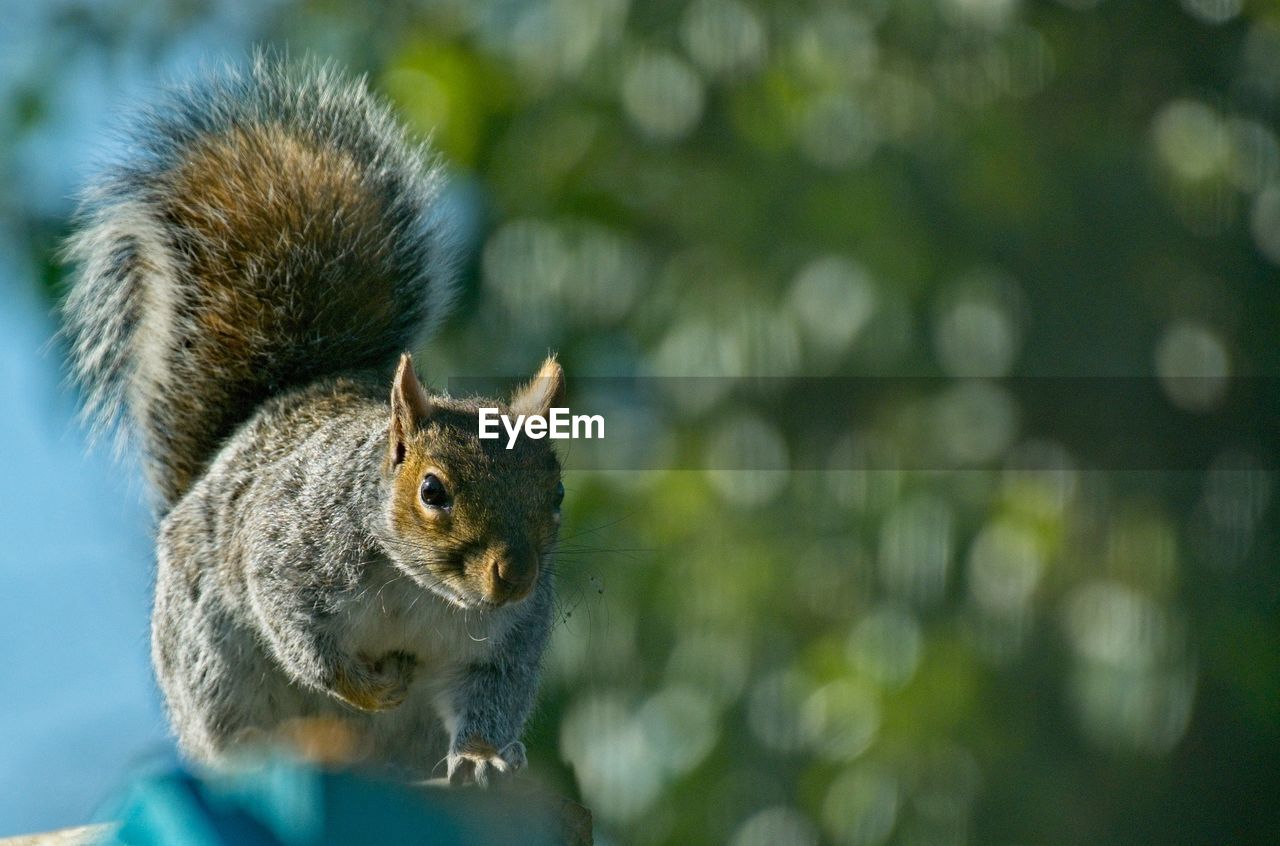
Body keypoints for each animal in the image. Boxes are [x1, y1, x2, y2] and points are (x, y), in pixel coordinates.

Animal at [60, 57, 568, 783]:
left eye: (557, 493)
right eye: (432, 490)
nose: (515, 578)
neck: (427, 593)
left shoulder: (503, 644)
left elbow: (490, 698)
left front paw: (481, 755)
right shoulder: (291, 554)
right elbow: (300, 636)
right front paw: (371, 687)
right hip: (211, 674)